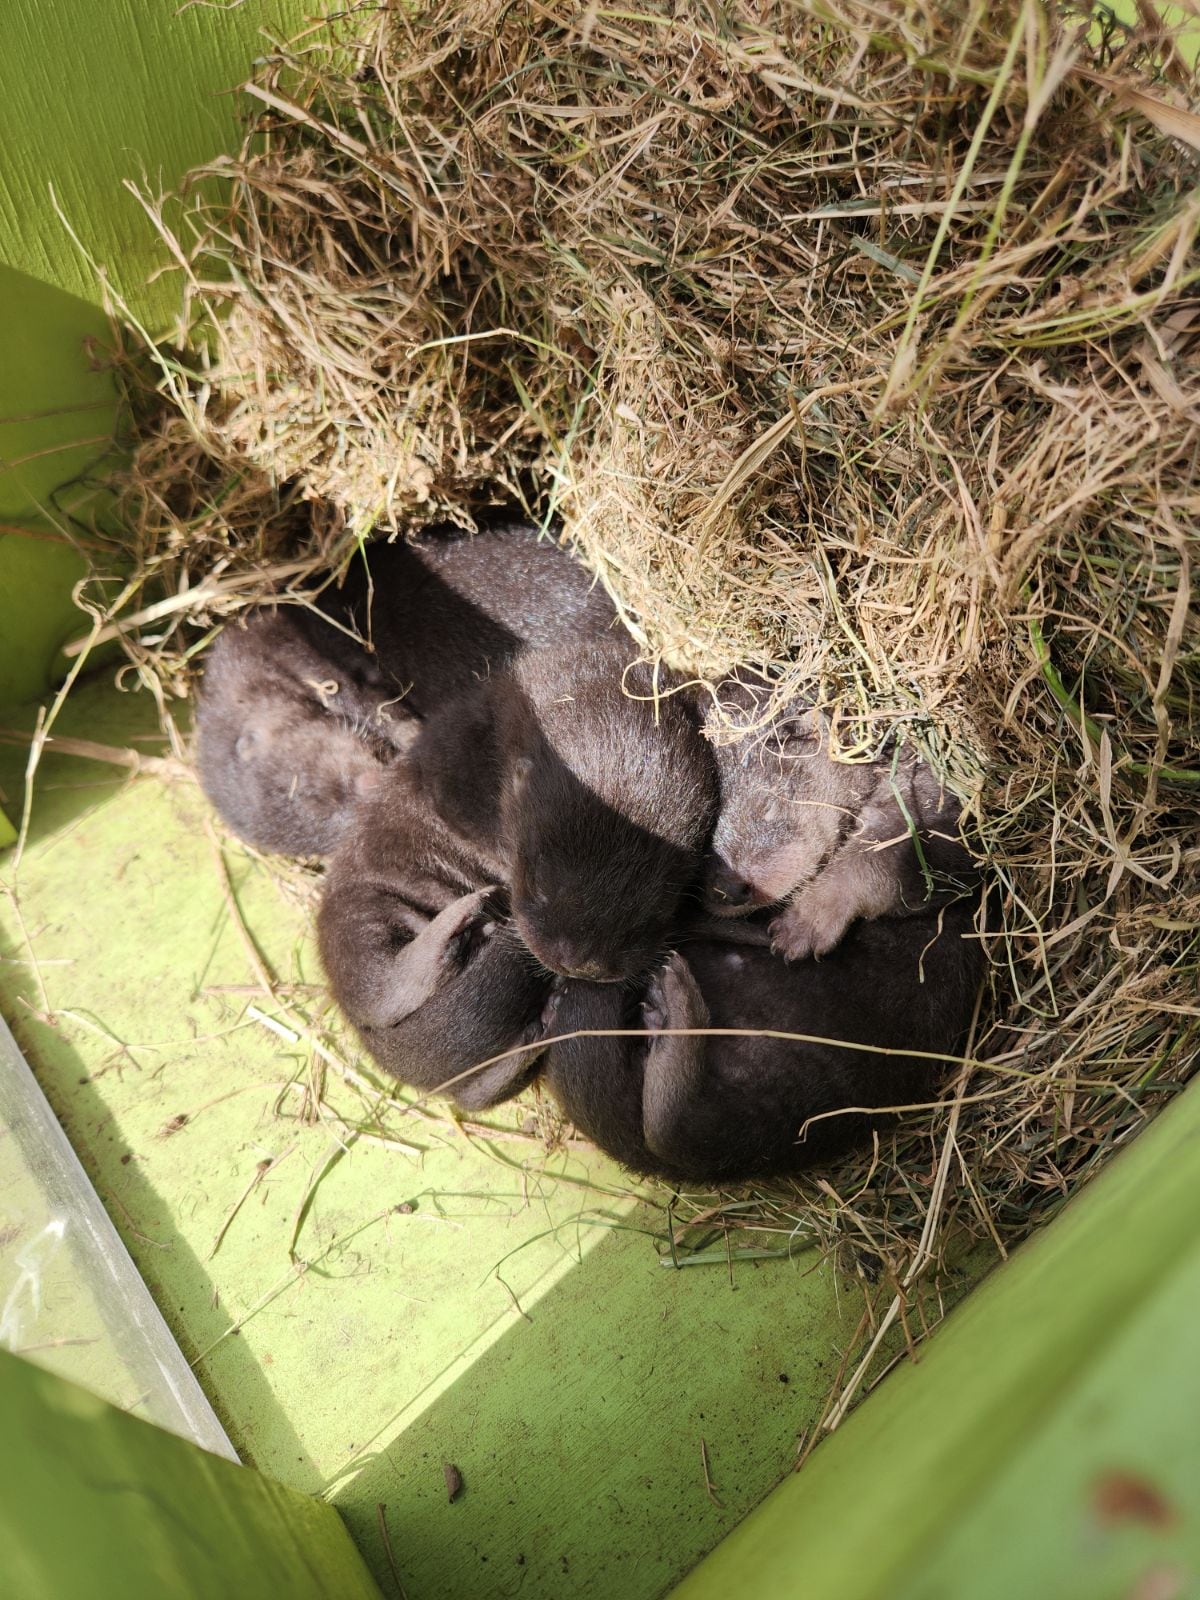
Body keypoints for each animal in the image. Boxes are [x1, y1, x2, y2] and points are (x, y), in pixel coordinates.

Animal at [703, 673, 976, 961]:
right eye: (703, 838)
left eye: (767, 804)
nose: (728, 888)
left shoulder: (933, 796)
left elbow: (883, 848)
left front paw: (807, 920)